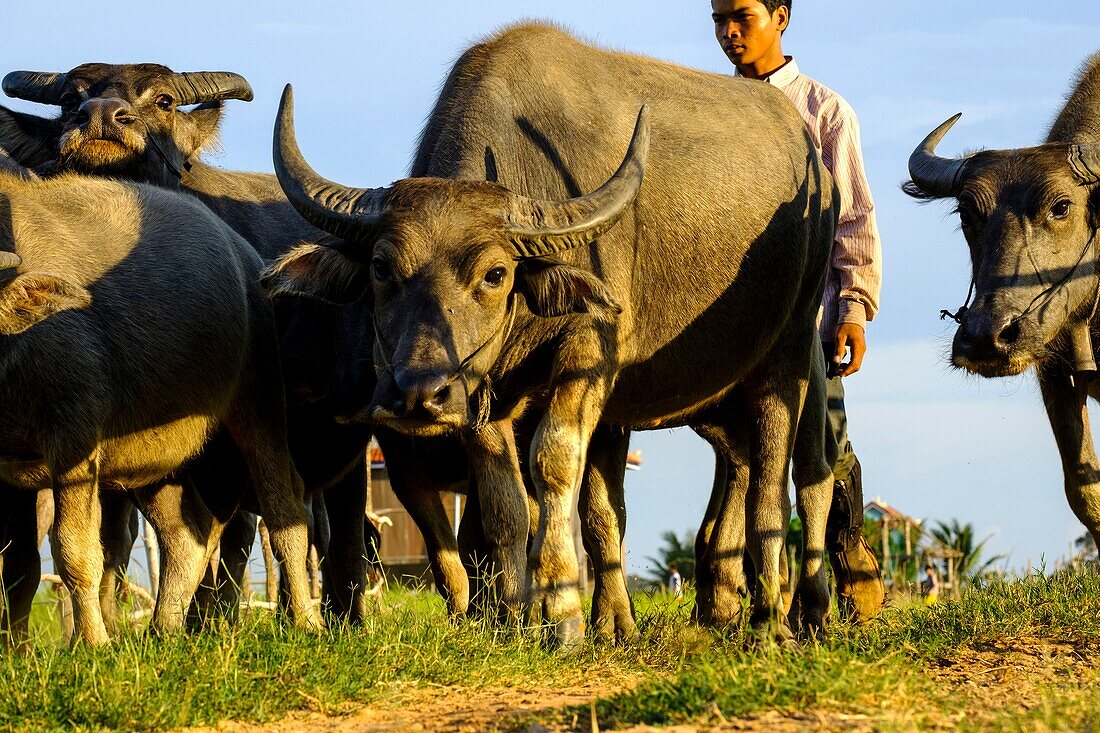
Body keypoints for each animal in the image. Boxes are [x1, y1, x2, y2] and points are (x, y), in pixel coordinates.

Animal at [264, 22, 831, 642]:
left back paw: (780, 619)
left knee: (785, 483)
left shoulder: (589, 353)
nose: (417, 394)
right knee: (718, 474)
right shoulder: (484, 393)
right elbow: (507, 500)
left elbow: (554, 462)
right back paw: (681, 613)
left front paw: (561, 612)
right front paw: (513, 615)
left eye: (496, 273)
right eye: (381, 268)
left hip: (794, 351)